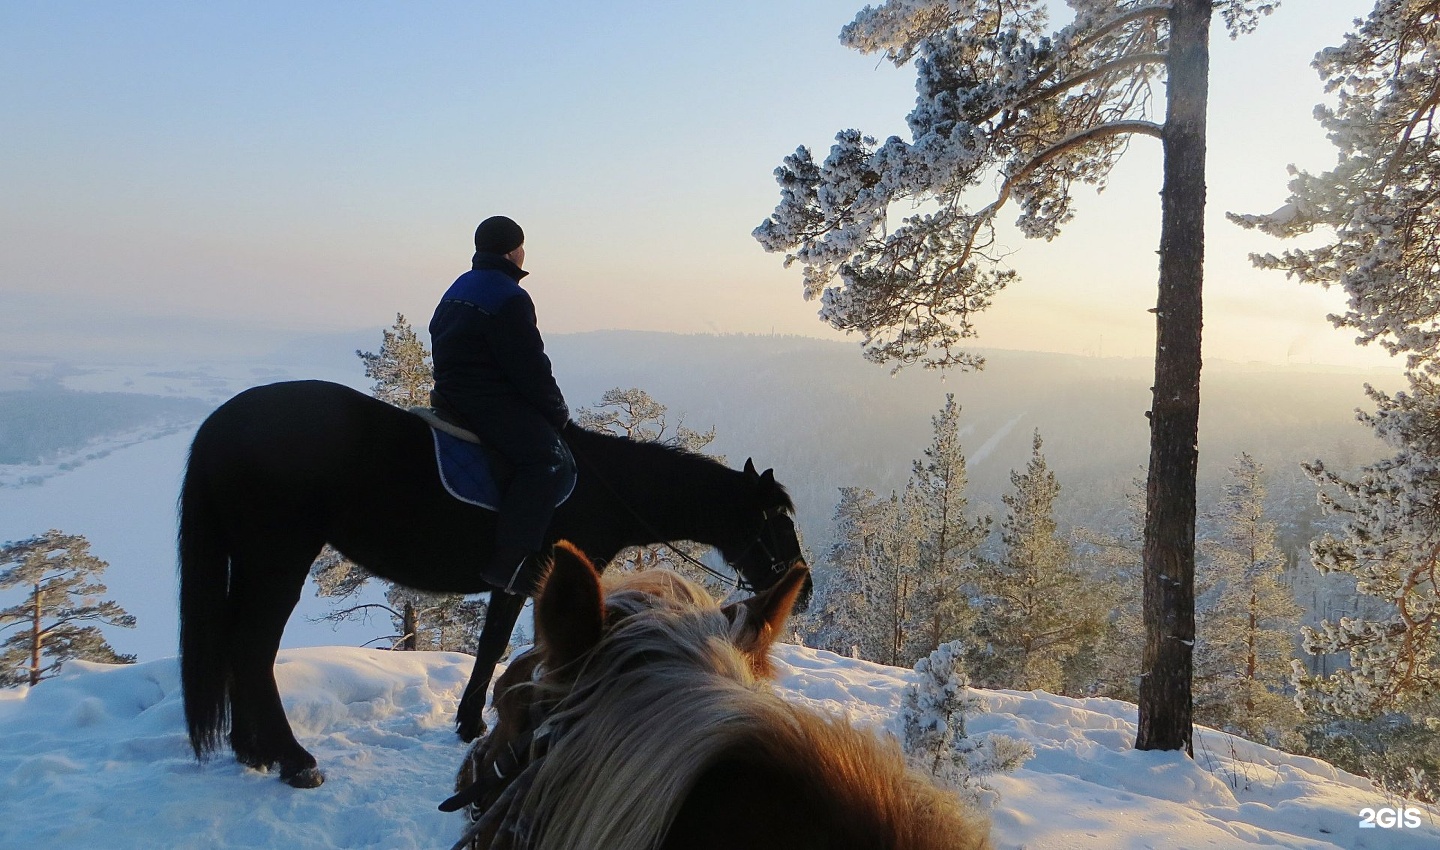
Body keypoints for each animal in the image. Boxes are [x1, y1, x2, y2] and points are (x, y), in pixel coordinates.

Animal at [175, 383, 806, 789]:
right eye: (777, 517)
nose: (803, 582)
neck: (604, 488)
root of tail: (220, 425)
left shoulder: (516, 581)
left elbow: (490, 644)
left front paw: (470, 720)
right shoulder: (541, 576)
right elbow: (504, 645)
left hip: (253, 561)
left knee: (238, 647)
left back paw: (252, 749)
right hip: (276, 560)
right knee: (252, 648)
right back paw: (292, 759)